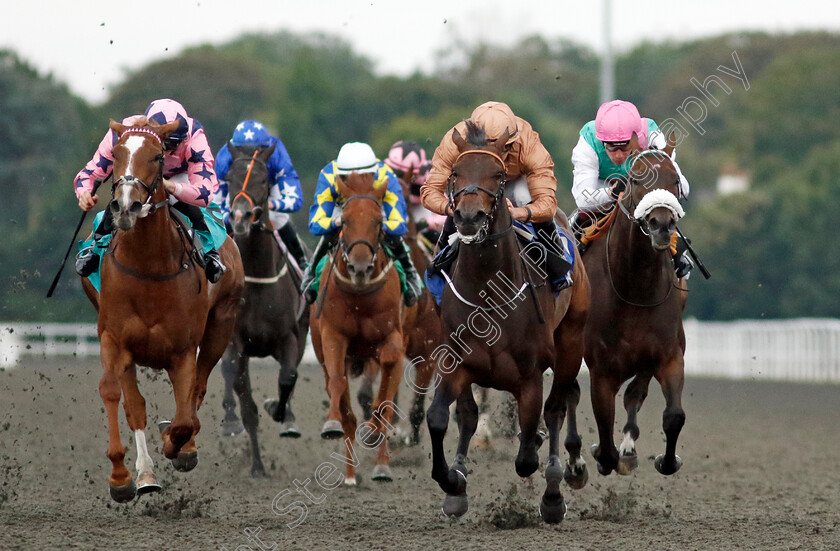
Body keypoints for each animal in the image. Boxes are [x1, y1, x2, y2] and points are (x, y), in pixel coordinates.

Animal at [81, 118, 243, 502]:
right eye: (116, 153)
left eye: (157, 156)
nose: (125, 206)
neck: (149, 266)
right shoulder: (114, 339)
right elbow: (115, 394)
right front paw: (122, 477)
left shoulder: (182, 349)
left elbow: (184, 416)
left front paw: (177, 445)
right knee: (136, 405)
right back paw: (145, 474)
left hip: (221, 326)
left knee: (196, 391)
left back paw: (182, 446)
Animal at [220, 143, 308, 478]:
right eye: (230, 177)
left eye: (262, 179)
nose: (240, 216)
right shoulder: (235, 341)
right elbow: (240, 390)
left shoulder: (289, 337)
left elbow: (287, 378)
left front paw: (280, 412)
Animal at [308, 171, 416, 484]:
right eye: (344, 221)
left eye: (379, 221)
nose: (359, 267)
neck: (360, 297)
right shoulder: (333, 336)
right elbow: (337, 383)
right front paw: (331, 423)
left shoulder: (392, 338)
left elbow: (387, 386)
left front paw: (374, 428)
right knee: (346, 410)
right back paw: (349, 473)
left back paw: (381, 465)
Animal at [426, 121, 592, 520]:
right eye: (455, 173)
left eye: (498, 174)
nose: (468, 217)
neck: (488, 290)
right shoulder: (458, 363)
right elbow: (443, 418)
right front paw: (453, 481)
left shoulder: (529, 376)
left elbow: (527, 452)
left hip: (571, 344)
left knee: (557, 408)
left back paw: (554, 494)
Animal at [584, 133, 688, 478]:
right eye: (635, 180)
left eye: (675, 180)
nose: (661, 224)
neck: (635, 288)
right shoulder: (601, 370)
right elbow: (604, 431)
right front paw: (601, 456)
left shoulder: (669, 356)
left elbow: (674, 416)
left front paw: (666, 461)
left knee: (634, 395)